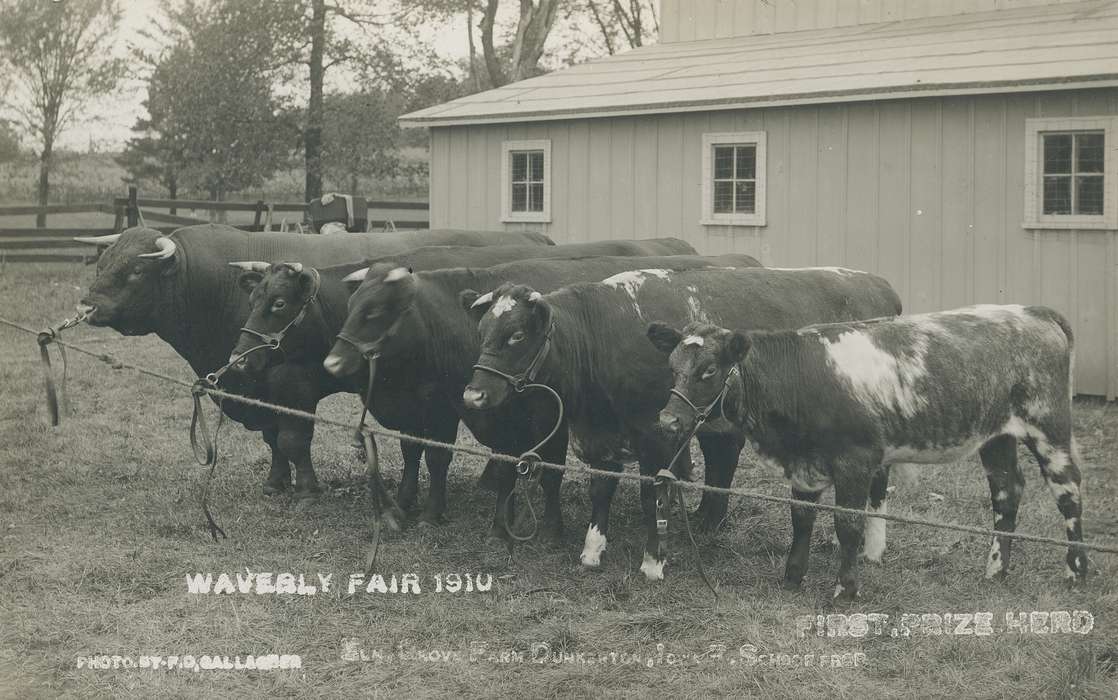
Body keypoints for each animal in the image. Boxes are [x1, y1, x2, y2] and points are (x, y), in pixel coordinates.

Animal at [74, 222, 554, 496]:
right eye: (102, 263)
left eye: (136, 270)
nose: (88, 305)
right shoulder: (256, 386)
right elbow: (272, 440)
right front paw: (275, 483)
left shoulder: (293, 382)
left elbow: (292, 438)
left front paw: (306, 487)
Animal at [224, 239, 697, 518]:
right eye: (253, 298)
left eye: (279, 303)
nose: (238, 357)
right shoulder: (414, 407)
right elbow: (412, 451)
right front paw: (406, 500)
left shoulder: (445, 407)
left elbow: (437, 456)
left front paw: (434, 511)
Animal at [462, 263, 898, 576]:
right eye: (481, 330)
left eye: (517, 335)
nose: (473, 394)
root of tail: (878, 283)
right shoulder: (601, 437)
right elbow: (600, 491)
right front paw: (592, 549)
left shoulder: (657, 436)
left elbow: (650, 495)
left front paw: (653, 561)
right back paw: (708, 519)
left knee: (878, 480)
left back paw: (873, 546)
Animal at [652, 304, 1086, 599]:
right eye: (672, 367)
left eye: (709, 370)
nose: (669, 420)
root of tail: (1030, 311)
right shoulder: (804, 464)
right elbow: (802, 518)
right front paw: (792, 577)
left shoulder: (856, 461)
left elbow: (847, 524)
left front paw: (845, 589)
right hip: (996, 436)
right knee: (1006, 492)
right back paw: (995, 571)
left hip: (1049, 427)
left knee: (1069, 494)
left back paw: (1077, 571)